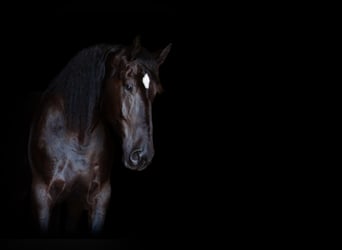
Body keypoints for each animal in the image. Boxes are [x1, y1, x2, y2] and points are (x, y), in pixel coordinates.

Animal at [27, 37, 171, 234]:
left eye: (155, 93)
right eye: (129, 86)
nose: (142, 156)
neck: (78, 137)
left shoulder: (94, 199)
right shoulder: (41, 197)